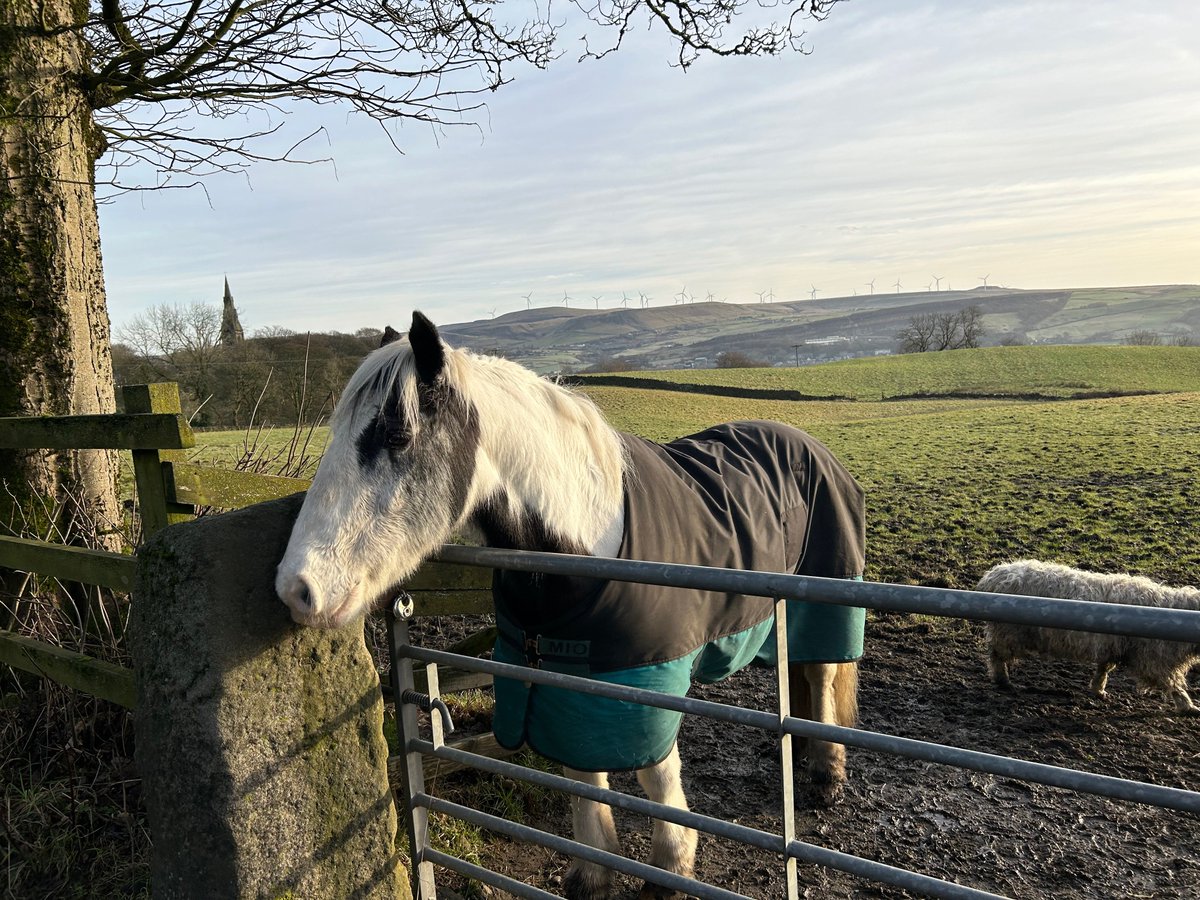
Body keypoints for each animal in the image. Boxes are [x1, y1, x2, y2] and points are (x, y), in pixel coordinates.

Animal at [276, 312, 868, 900]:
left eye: (396, 435)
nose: (295, 588)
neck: (590, 547)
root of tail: (809, 444)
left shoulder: (648, 681)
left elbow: (656, 774)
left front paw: (672, 867)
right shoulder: (565, 679)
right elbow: (582, 771)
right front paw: (593, 871)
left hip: (827, 596)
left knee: (822, 673)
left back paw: (826, 775)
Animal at [979, 561, 1195, 715]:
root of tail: (994, 575)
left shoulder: (1112, 647)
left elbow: (1103, 669)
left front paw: (1098, 690)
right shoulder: (1153, 659)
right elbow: (1173, 684)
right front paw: (1188, 707)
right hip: (1008, 633)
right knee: (996, 656)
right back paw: (1003, 680)